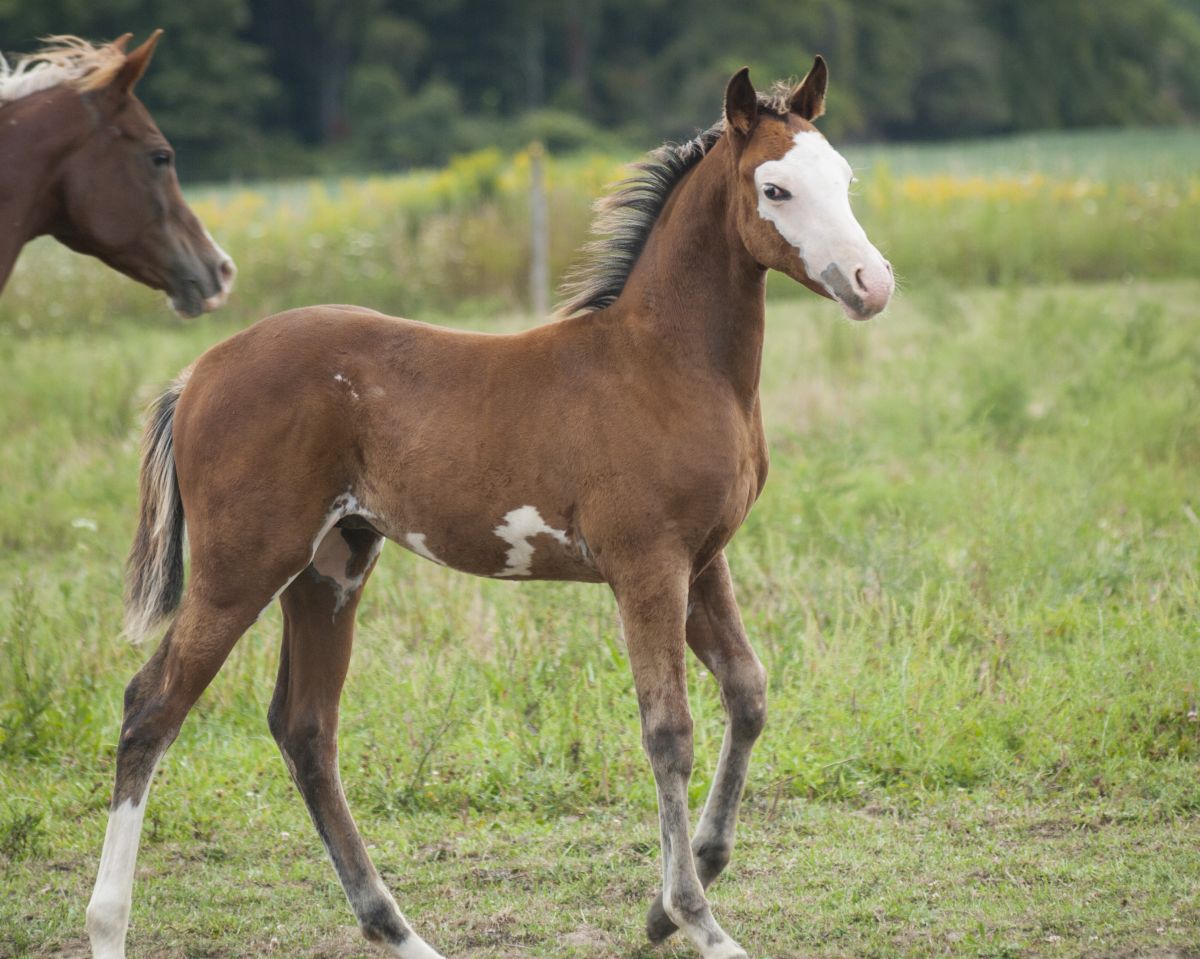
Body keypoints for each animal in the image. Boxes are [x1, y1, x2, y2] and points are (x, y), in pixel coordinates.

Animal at [87, 60, 892, 959]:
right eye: (776, 188)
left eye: (845, 179)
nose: (872, 283)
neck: (665, 362)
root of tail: (199, 373)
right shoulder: (648, 566)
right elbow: (668, 731)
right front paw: (697, 920)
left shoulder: (703, 558)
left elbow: (748, 695)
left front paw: (665, 905)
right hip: (242, 566)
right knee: (151, 707)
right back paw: (108, 924)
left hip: (332, 564)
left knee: (306, 729)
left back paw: (398, 929)